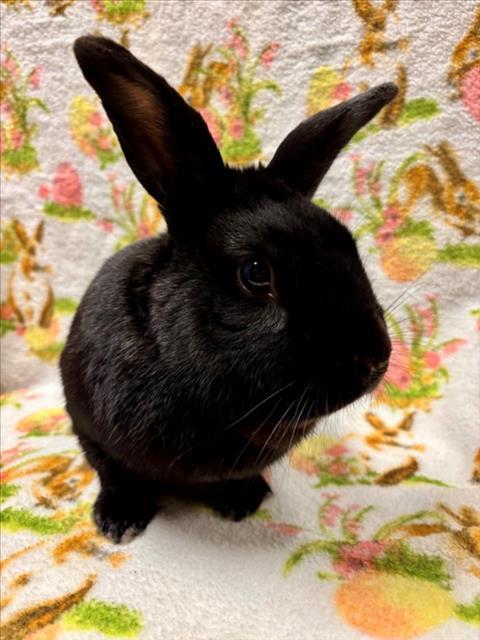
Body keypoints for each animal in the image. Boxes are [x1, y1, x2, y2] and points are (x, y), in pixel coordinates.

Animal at [61, 35, 396, 543]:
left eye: (348, 243)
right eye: (255, 273)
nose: (374, 360)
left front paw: (242, 501)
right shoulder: (91, 431)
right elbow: (114, 474)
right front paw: (119, 522)